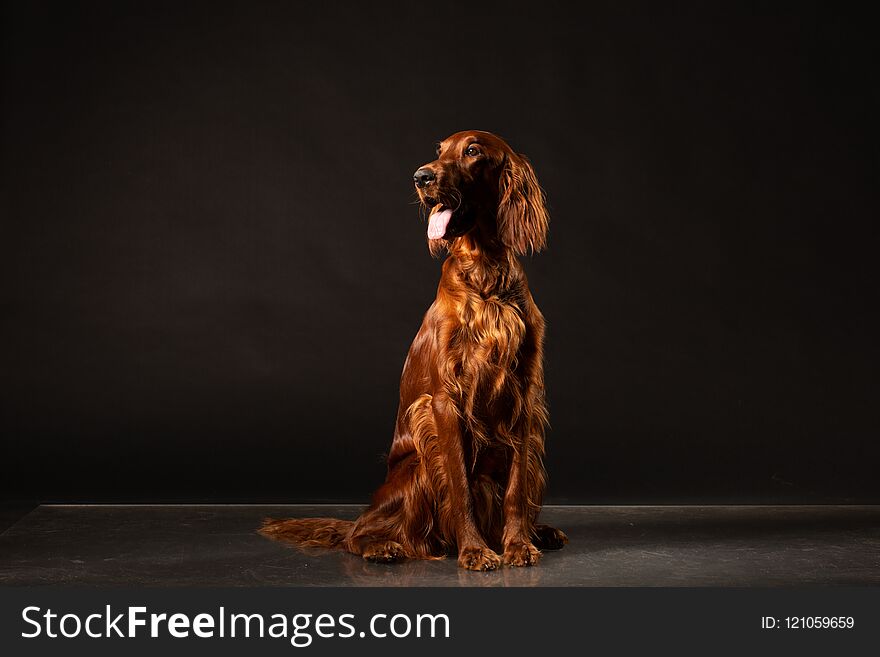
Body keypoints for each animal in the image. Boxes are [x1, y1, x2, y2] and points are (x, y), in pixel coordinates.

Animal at [258, 129, 568, 568]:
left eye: (472, 151)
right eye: (439, 150)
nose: (421, 176)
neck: (485, 274)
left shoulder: (522, 396)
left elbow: (515, 489)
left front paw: (518, 544)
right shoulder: (442, 400)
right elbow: (459, 486)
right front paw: (475, 551)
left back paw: (539, 532)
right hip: (418, 463)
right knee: (360, 533)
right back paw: (384, 546)